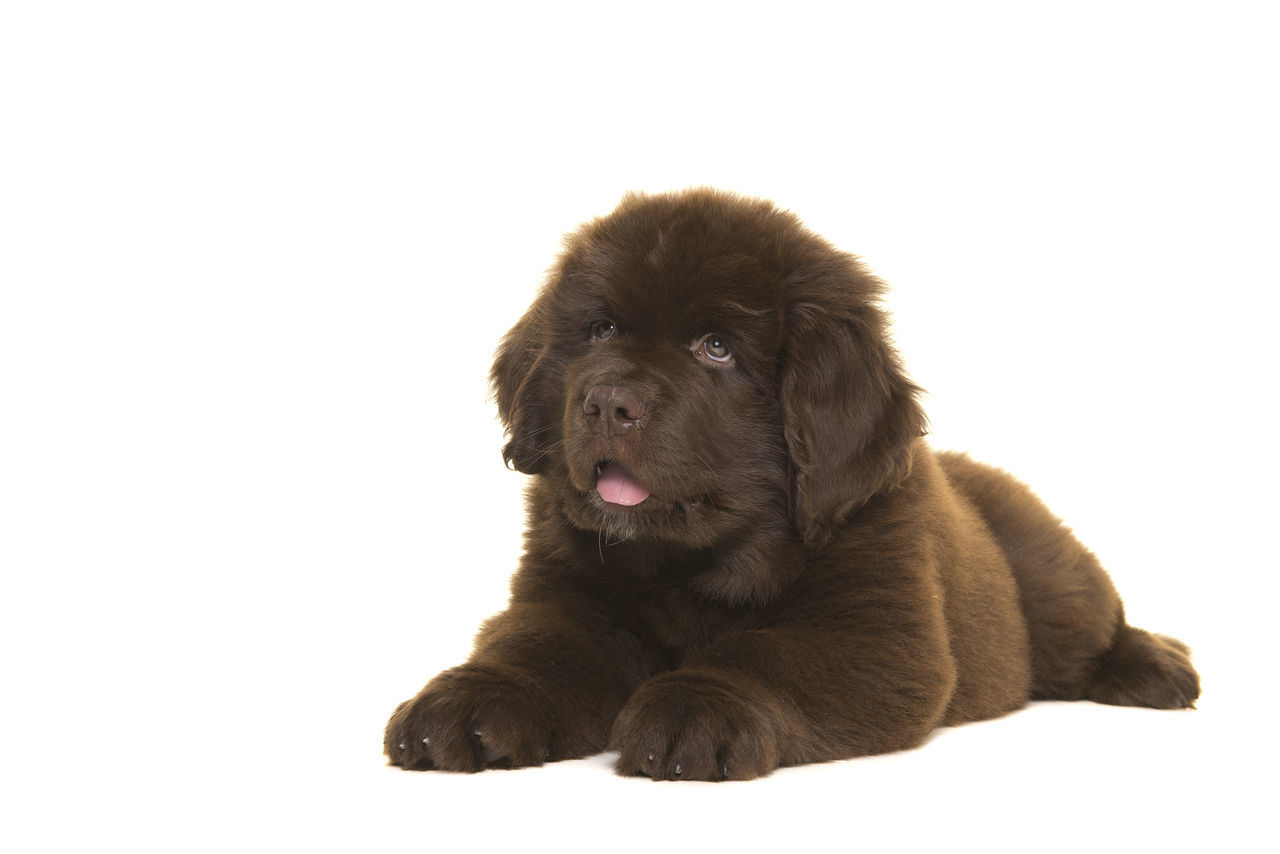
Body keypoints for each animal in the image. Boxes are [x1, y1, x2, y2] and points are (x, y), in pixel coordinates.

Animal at [381, 186, 1198, 783]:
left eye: (717, 349)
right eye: (601, 331)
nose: (608, 402)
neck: (694, 567)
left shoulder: (875, 636)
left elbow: (764, 655)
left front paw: (692, 709)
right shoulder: (565, 598)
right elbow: (534, 648)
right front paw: (469, 701)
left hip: (1053, 581)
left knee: (1093, 628)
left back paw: (1158, 666)